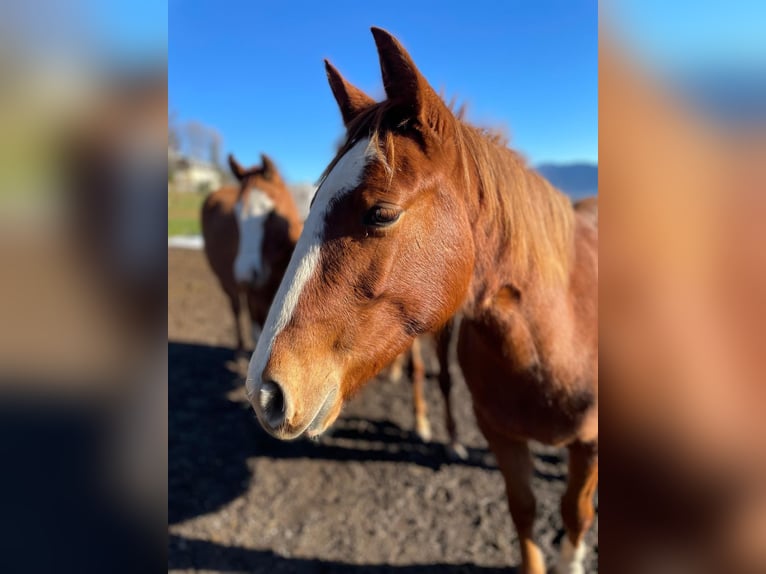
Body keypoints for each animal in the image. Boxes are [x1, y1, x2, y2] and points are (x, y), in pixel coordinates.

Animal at [246, 28, 600, 574]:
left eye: (381, 212)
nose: (265, 391)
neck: (552, 339)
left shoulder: (590, 446)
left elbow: (576, 516)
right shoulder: (501, 436)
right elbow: (524, 511)